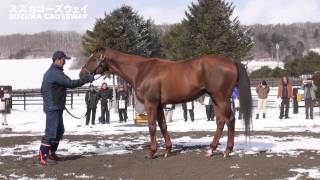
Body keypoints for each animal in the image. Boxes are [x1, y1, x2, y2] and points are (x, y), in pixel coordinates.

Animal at [79, 47, 251, 158]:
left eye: (94, 58)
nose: (81, 74)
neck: (141, 70)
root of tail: (231, 61)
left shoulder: (151, 104)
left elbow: (152, 127)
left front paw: (151, 152)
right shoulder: (159, 105)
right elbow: (163, 125)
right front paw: (168, 150)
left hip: (221, 99)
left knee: (230, 120)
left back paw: (227, 151)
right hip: (215, 99)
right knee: (221, 121)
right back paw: (211, 149)